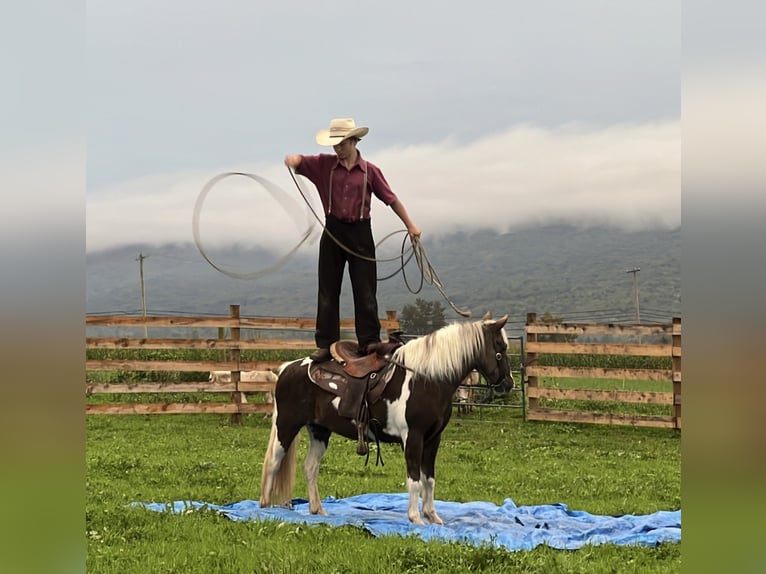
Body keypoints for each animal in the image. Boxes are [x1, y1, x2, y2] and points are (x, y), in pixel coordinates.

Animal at [260, 310, 516, 528]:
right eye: (501, 347)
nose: (508, 384)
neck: (426, 379)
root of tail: (287, 368)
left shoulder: (433, 439)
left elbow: (429, 479)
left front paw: (433, 517)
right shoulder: (413, 437)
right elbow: (414, 479)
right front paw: (415, 518)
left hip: (320, 430)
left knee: (310, 467)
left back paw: (318, 510)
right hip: (287, 425)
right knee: (273, 462)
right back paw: (265, 507)